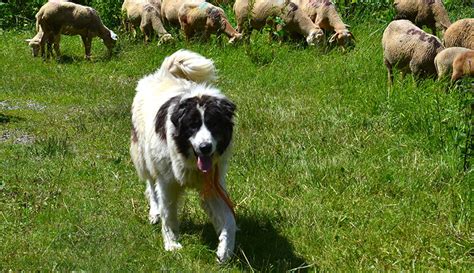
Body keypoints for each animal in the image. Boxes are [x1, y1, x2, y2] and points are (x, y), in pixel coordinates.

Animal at [130, 49, 237, 262]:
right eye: (193, 125)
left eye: (213, 124)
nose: (205, 147)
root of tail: (162, 75)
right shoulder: (167, 181)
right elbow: (169, 213)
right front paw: (171, 244)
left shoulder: (213, 183)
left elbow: (229, 219)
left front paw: (225, 250)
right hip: (144, 156)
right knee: (150, 184)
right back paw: (154, 212)